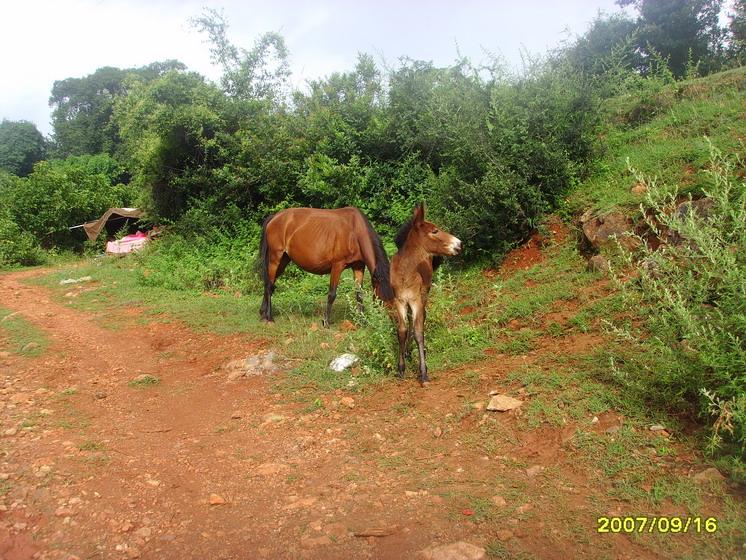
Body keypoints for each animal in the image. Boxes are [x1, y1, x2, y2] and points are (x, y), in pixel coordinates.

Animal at [390, 205, 460, 384]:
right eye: (435, 231)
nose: (459, 244)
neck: (406, 272)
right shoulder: (399, 300)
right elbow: (402, 330)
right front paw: (401, 369)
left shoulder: (416, 299)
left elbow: (419, 331)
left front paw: (423, 372)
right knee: (410, 320)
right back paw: (408, 351)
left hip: (424, 294)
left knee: (422, 317)